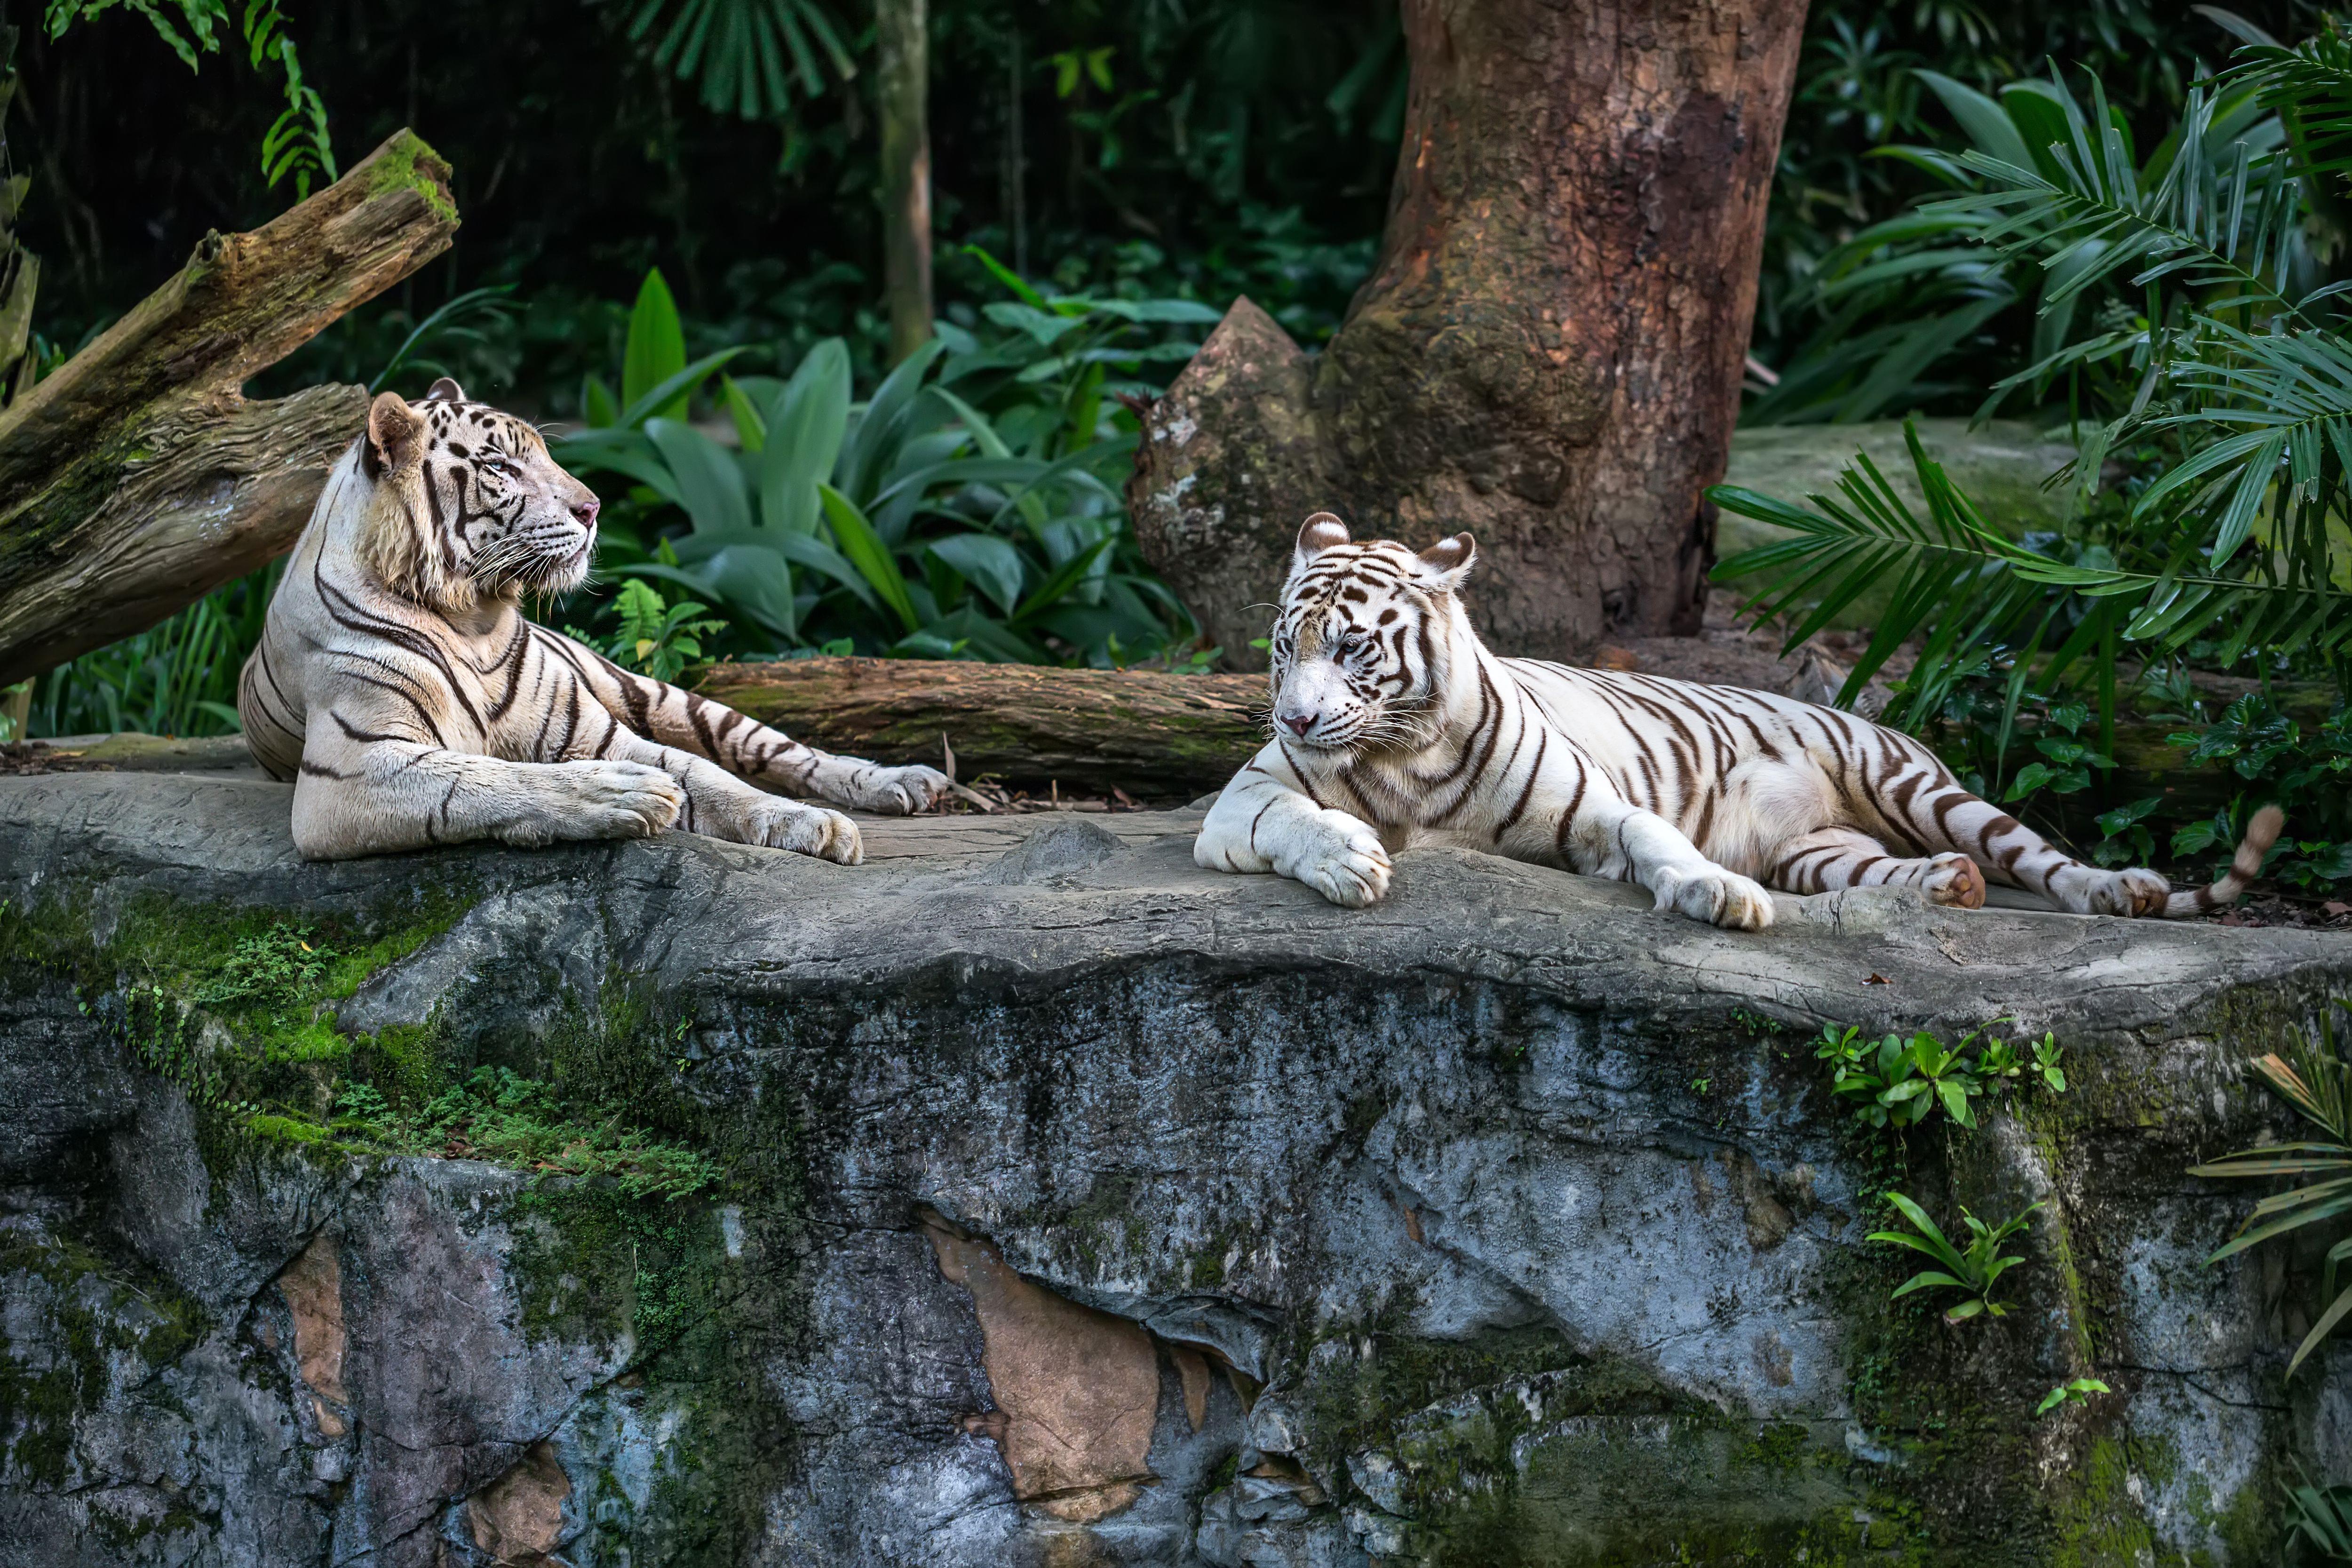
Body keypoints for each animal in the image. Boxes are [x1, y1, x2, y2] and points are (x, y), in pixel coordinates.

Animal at [231, 385, 946, 865]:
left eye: (546, 456)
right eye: (500, 466)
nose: (594, 507)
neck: (473, 620)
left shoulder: (598, 731)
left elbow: (711, 776)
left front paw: (814, 824)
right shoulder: (351, 771)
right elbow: (491, 778)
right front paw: (625, 796)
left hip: (654, 692)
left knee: (775, 749)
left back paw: (904, 782)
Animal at [1195, 515, 2277, 931]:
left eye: (1351, 648)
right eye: (1284, 648)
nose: (1295, 716)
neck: (1403, 755)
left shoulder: (1592, 805)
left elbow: (1654, 836)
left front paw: (1718, 895)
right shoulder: (1240, 803)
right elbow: (1297, 819)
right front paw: (1349, 859)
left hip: (1919, 786)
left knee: (2040, 857)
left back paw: (2120, 889)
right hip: (1824, 854)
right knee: (1905, 874)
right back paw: (1948, 886)